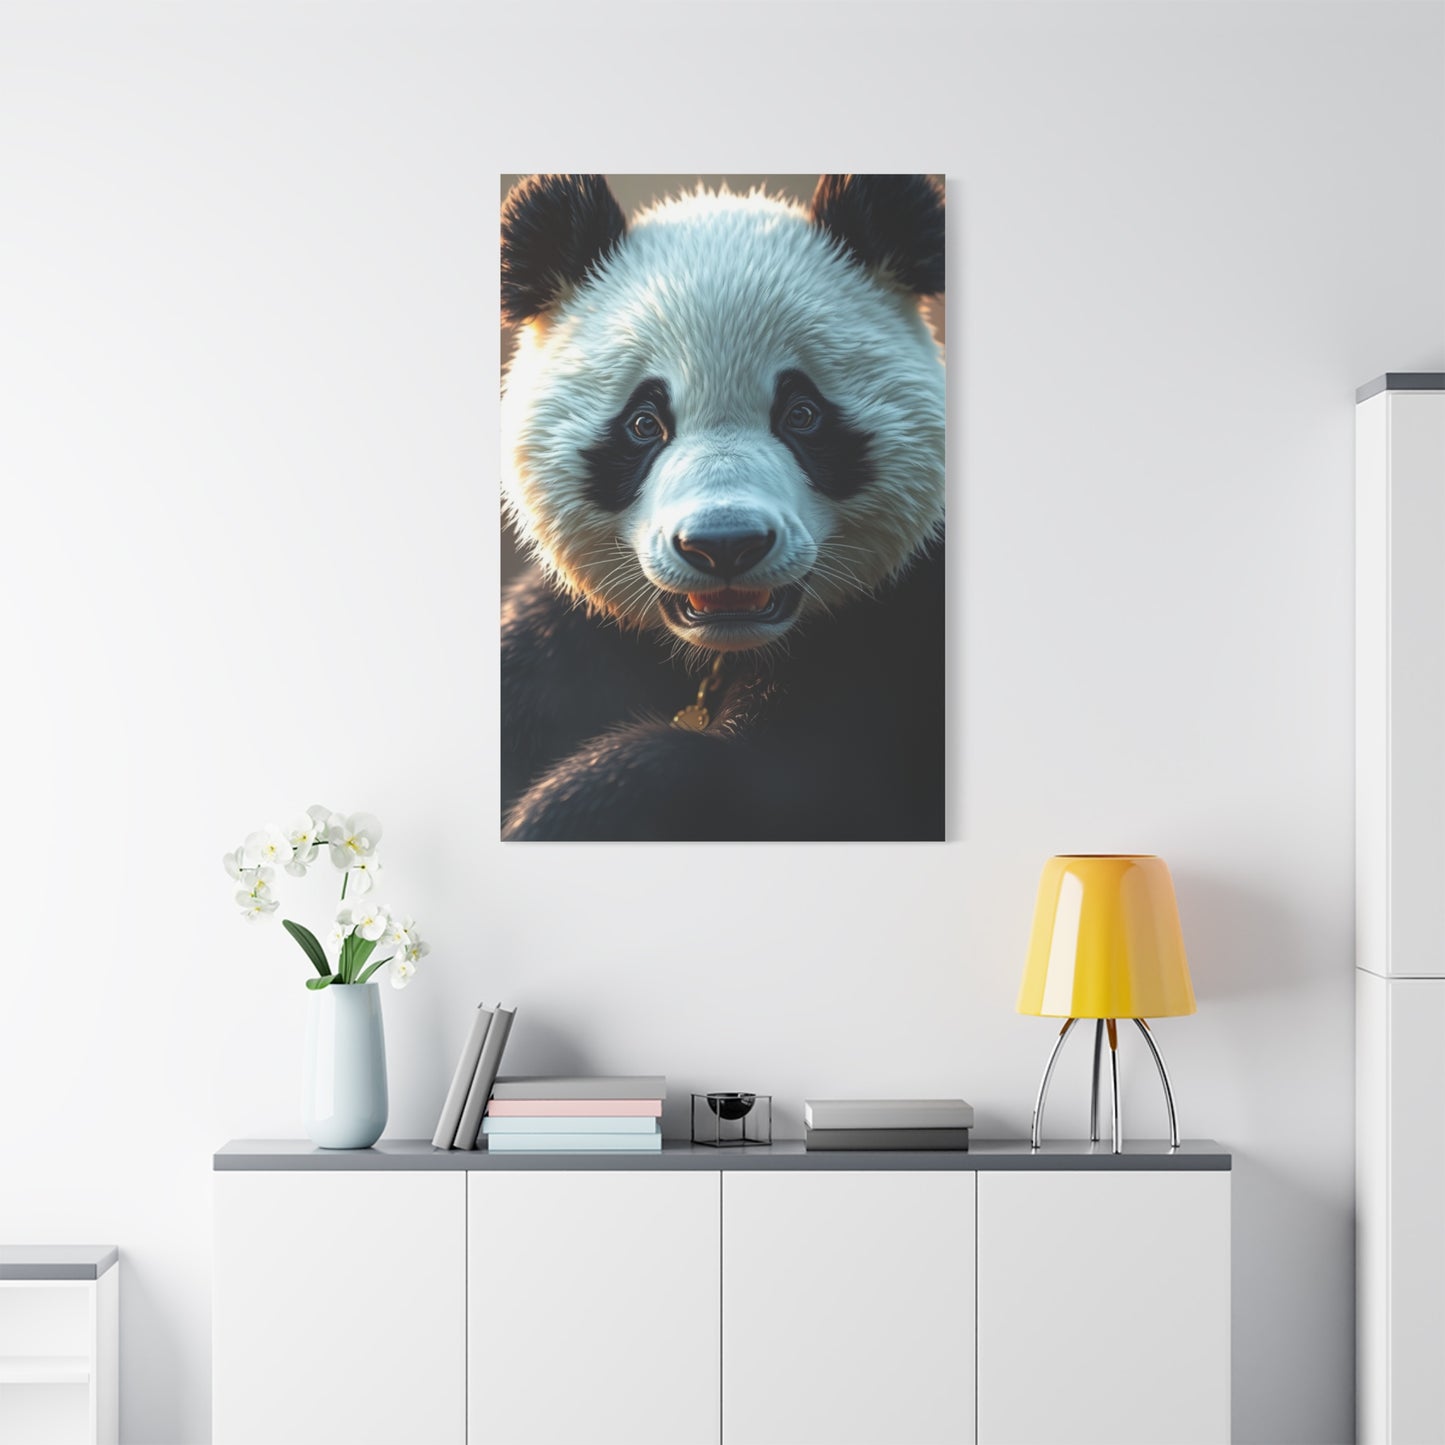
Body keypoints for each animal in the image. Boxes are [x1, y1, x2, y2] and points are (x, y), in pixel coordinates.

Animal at [500, 173, 945, 842]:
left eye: (802, 414)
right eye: (644, 423)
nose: (724, 545)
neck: (720, 652)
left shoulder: (899, 639)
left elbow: (782, 787)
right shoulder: (574, 639)